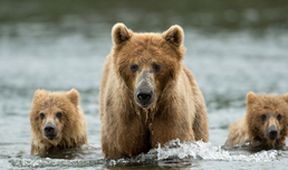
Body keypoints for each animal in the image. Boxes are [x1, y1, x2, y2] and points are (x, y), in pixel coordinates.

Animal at [100, 22, 208, 159]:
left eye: (157, 66)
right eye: (134, 66)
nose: (144, 94)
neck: (147, 113)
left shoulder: (169, 113)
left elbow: (172, 137)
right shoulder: (123, 119)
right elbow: (120, 145)